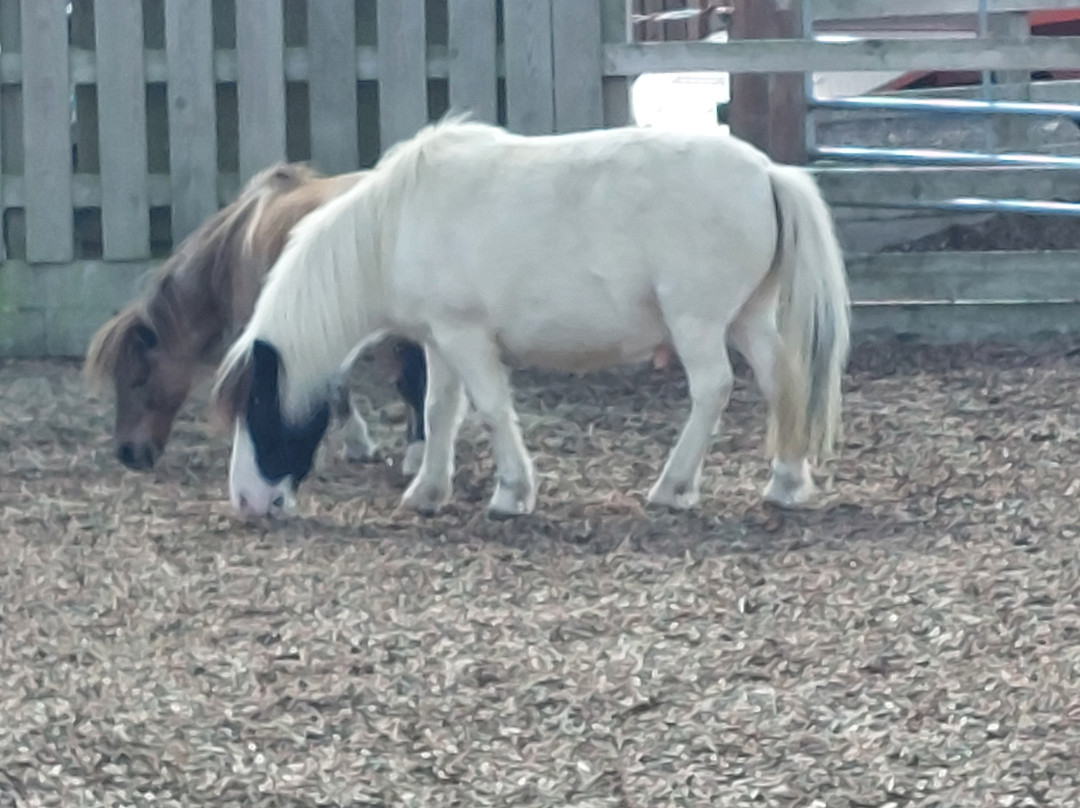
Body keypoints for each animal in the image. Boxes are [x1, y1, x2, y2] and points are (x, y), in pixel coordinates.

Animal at [211, 119, 850, 519]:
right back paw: (785, 482)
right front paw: (427, 492)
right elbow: (438, 412)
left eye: (259, 404)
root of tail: (768, 172)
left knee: (713, 388)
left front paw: (512, 493)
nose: (245, 500)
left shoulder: (467, 337)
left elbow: (492, 410)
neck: (394, 222)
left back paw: (672, 487)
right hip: (747, 318)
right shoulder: (439, 341)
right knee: (780, 381)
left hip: (698, 322)